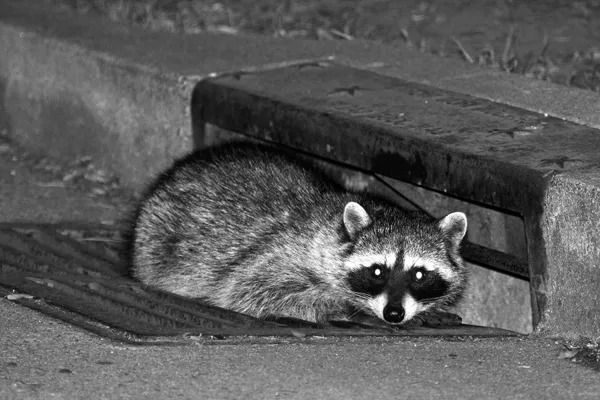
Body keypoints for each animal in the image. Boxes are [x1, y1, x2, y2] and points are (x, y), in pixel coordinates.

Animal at [130, 142, 468, 326]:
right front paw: (349, 308)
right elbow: (251, 292)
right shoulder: (279, 254)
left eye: (419, 274)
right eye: (376, 271)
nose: (394, 313)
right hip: (154, 239)